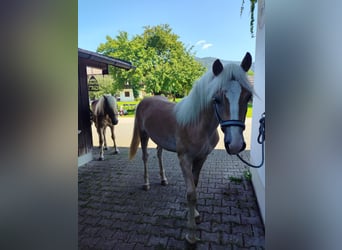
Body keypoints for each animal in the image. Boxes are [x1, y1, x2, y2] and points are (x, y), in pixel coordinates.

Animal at [128, 52, 254, 244]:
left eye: (248, 97)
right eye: (216, 99)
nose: (235, 145)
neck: (197, 124)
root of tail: (146, 99)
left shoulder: (201, 157)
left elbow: (195, 184)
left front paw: (195, 214)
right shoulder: (185, 159)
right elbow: (191, 194)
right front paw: (191, 234)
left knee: (159, 154)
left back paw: (163, 179)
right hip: (143, 136)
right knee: (145, 157)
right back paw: (146, 183)